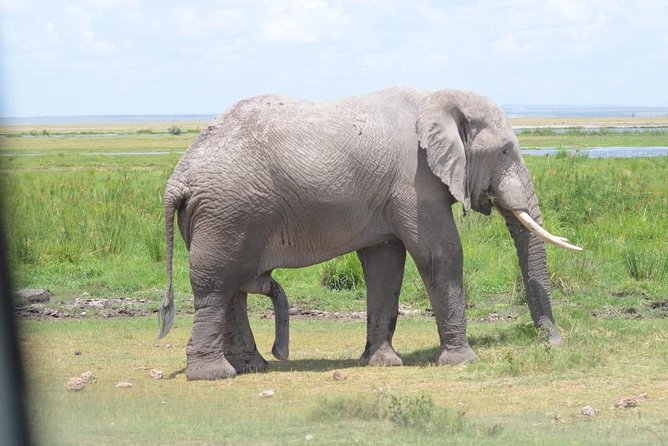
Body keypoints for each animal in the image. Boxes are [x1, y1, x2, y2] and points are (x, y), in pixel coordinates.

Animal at [158, 87, 581, 381]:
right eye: (506, 151)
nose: (555, 343)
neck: (437, 99)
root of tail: (179, 176)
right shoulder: (414, 182)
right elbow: (440, 255)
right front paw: (462, 361)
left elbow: (384, 265)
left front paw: (381, 363)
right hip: (226, 213)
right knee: (216, 285)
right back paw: (214, 375)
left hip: (220, 216)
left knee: (234, 288)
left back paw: (253, 368)